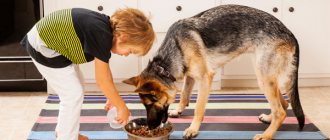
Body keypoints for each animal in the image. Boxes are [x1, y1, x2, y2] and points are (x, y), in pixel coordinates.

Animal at [123, 4, 304, 140]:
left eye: (150, 104)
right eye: (144, 106)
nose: (151, 127)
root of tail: (290, 33)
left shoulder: (205, 78)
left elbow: (198, 108)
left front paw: (193, 129)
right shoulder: (190, 75)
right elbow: (184, 95)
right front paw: (179, 110)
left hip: (263, 77)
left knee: (280, 111)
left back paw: (266, 135)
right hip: (265, 76)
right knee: (284, 104)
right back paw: (268, 118)